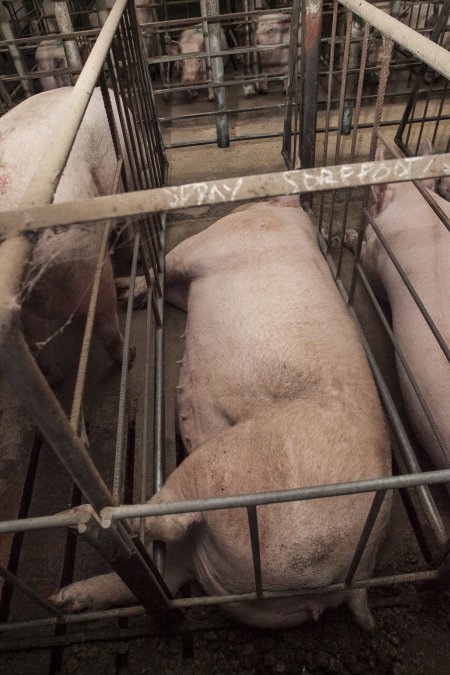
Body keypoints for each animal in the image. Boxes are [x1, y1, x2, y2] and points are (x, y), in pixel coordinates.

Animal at [49, 194, 390, 628]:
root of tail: (349, 578)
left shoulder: (204, 246)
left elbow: (165, 266)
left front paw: (133, 289)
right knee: (168, 574)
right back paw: (64, 598)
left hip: (224, 469)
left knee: (164, 522)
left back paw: (87, 515)